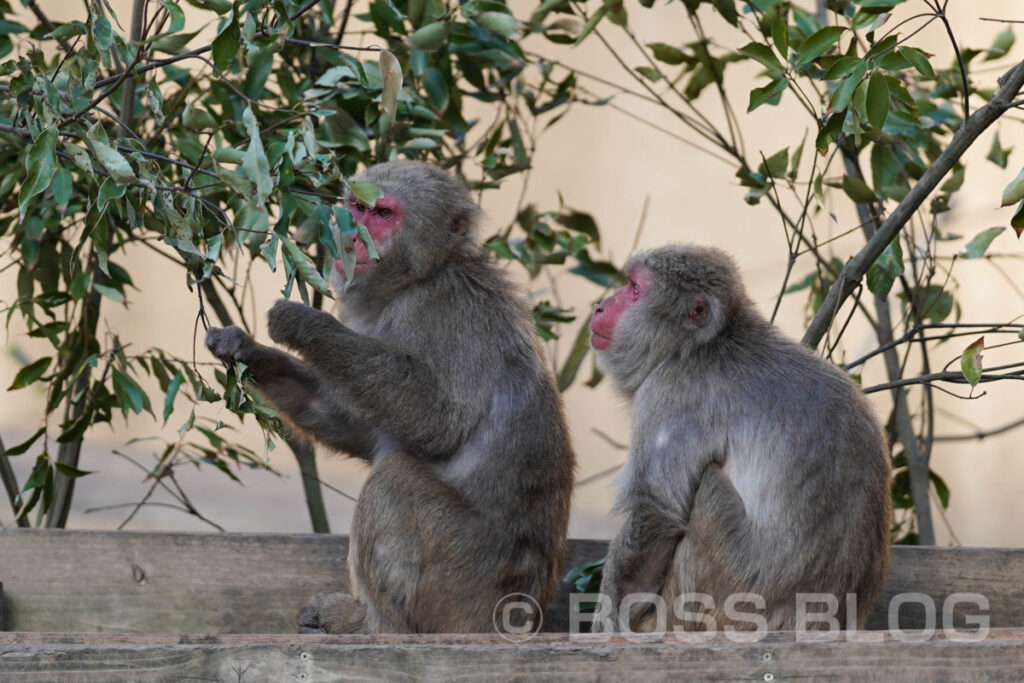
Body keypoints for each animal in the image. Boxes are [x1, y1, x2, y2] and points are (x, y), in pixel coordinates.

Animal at [205, 161, 577, 634]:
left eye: (382, 213)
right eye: (357, 207)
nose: (349, 234)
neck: (417, 278)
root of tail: (520, 614)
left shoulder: (442, 312)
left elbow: (435, 421)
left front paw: (302, 323)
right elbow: (356, 426)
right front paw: (243, 349)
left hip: (462, 582)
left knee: (394, 478)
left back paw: (371, 625)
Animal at [589, 242, 892, 634]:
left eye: (634, 288)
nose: (600, 306)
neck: (702, 343)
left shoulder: (670, 392)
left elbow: (656, 513)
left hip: (720, 592)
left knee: (708, 487)